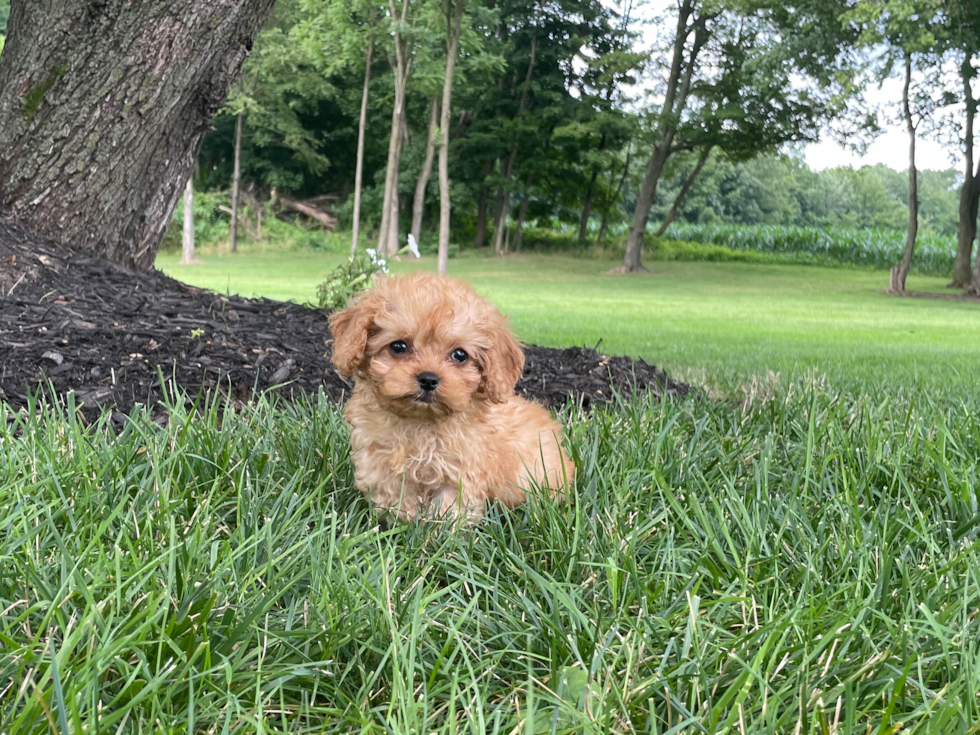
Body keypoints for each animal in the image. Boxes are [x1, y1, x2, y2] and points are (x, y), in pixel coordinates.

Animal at [330, 272, 576, 524]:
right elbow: (395, 498)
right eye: (398, 346)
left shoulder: (462, 471)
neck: (421, 423)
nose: (428, 379)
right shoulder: (379, 464)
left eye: (460, 355)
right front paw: (404, 524)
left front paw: (435, 530)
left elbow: (449, 508)